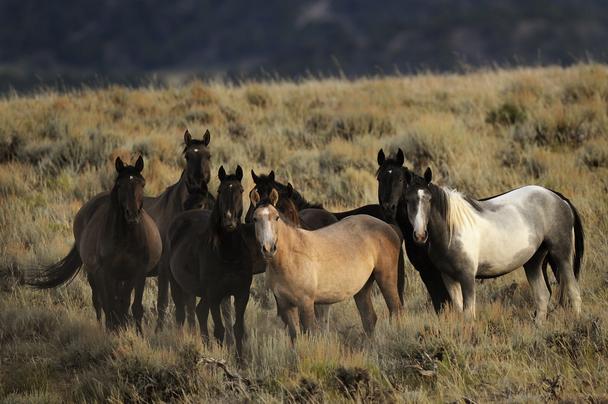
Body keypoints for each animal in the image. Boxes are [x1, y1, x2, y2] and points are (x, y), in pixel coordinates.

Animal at [27, 155, 162, 332]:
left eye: (143, 184)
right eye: (120, 185)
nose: (132, 214)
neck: (124, 238)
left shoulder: (139, 273)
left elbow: (134, 307)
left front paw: (136, 333)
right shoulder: (105, 273)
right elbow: (109, 307)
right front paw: (113, 331)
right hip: (93, 274)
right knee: (98, 303)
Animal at [144, 129, 215, 332]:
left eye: (208, 155)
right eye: (187, 156)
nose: (198, 188)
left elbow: (186, 304)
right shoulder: (164, 268)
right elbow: (164, 301)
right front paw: (159, 332)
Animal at [167, 166, 253, 358]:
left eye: (241, 190)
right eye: (220, 190)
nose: (229, 221)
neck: (229, 254)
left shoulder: (241, 293)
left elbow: (238, 328)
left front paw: (241, 360)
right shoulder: (215, 294)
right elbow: (220, 330)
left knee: (199, 312)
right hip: (177, 285)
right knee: (181, 315)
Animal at [252, 188, 404, 340]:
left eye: (276, 217)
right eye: (255, 219)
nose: (268, 248)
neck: (290, 258)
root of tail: (388, 227)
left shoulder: (306, 302)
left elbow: (310, 332)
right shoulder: (285, 304)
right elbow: (295, 336)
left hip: (386, 278)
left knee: (395, 311)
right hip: (363, 287)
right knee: (369, 318)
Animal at [402, 167, 580, 322]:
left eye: (429, 199)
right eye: (407, 200)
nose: (420, 235)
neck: (451, 231)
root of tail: (559, 199)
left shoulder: (467, 277)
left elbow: (468, 314)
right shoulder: (449, 277)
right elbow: (460, 312)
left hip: (561, 255)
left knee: (573, 292)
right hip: (533, 261)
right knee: (542, 296)